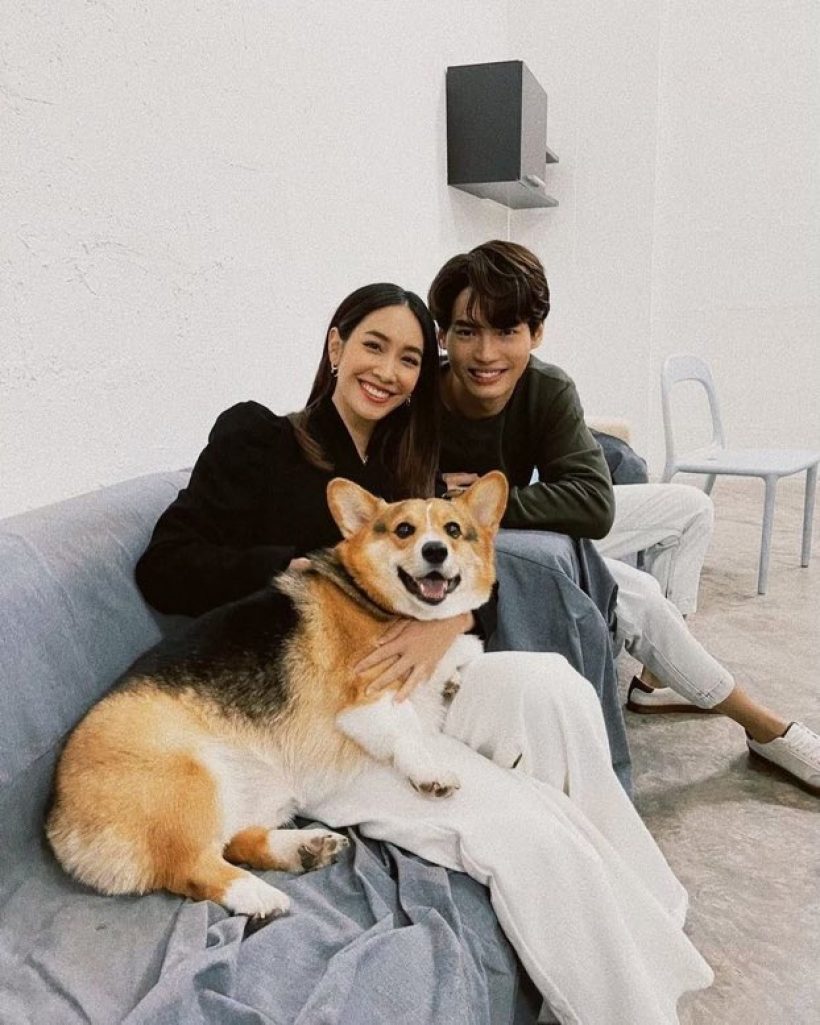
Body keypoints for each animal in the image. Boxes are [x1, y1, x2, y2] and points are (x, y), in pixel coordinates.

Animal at [46, 471, 508, 919]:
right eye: (404, 530)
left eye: (453, 530)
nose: (435, 551)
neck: (375, 601)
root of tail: (57, 822)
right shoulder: (365, 699)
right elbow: (408, 731)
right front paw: (432, 771)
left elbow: (466, 652)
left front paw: (451, 676)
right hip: (189, 780)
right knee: (192, 866)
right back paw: (258, 896)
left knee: (235, 841)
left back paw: (302, 849)